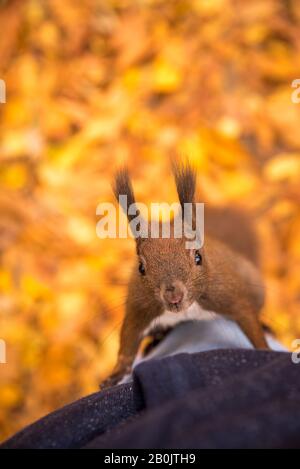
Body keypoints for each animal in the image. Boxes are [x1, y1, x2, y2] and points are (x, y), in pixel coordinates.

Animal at [102, 162, 268, 388]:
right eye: (141, 268)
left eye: (198, 257)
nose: (174, 296)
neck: (186, 311)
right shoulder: (140, 308)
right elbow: (128, 340)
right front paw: (115, 374)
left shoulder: (229, 295)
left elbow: (249, 319)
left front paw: (266, 352)